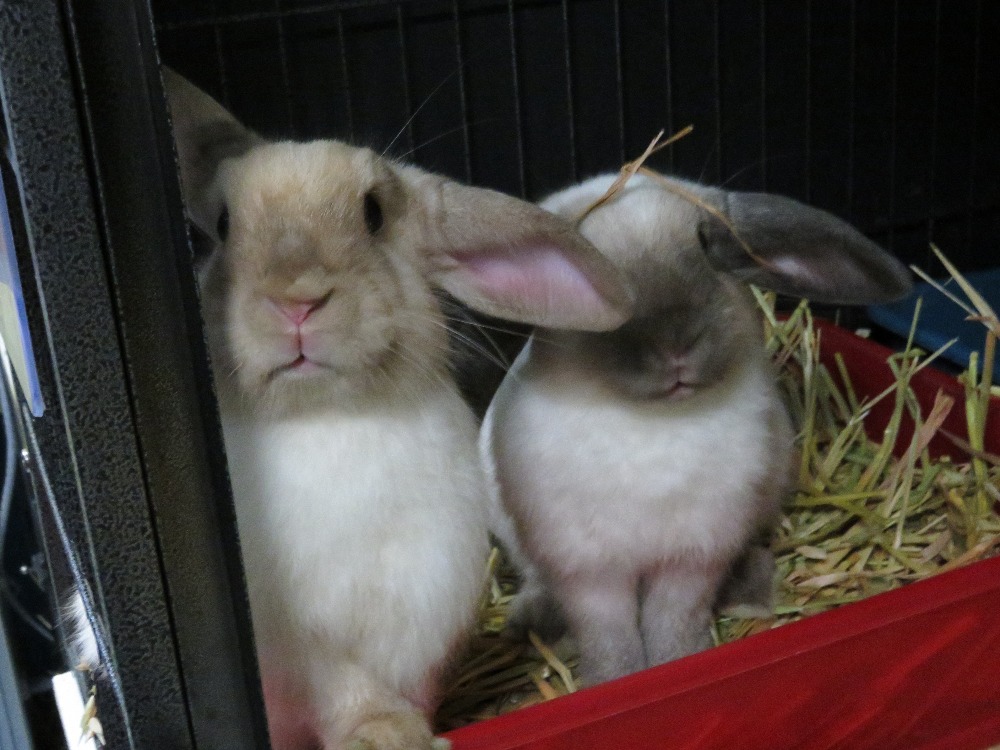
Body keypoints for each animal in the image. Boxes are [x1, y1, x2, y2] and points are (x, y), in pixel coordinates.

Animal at [161, 70, 633, 750]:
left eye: (374, 213)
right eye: (223, 224)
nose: (297, 300)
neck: (326, 420)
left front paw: (407, 732)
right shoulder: (298, 648)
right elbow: (344, 688)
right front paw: (382, 733)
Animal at [480, 171, 912, 686]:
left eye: (707, 243)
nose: (677, 344)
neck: (657, 422)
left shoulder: (694, 557)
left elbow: (673, 620)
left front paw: (677, 663)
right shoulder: (589, 571)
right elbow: (609, 638)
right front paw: (615, 681)